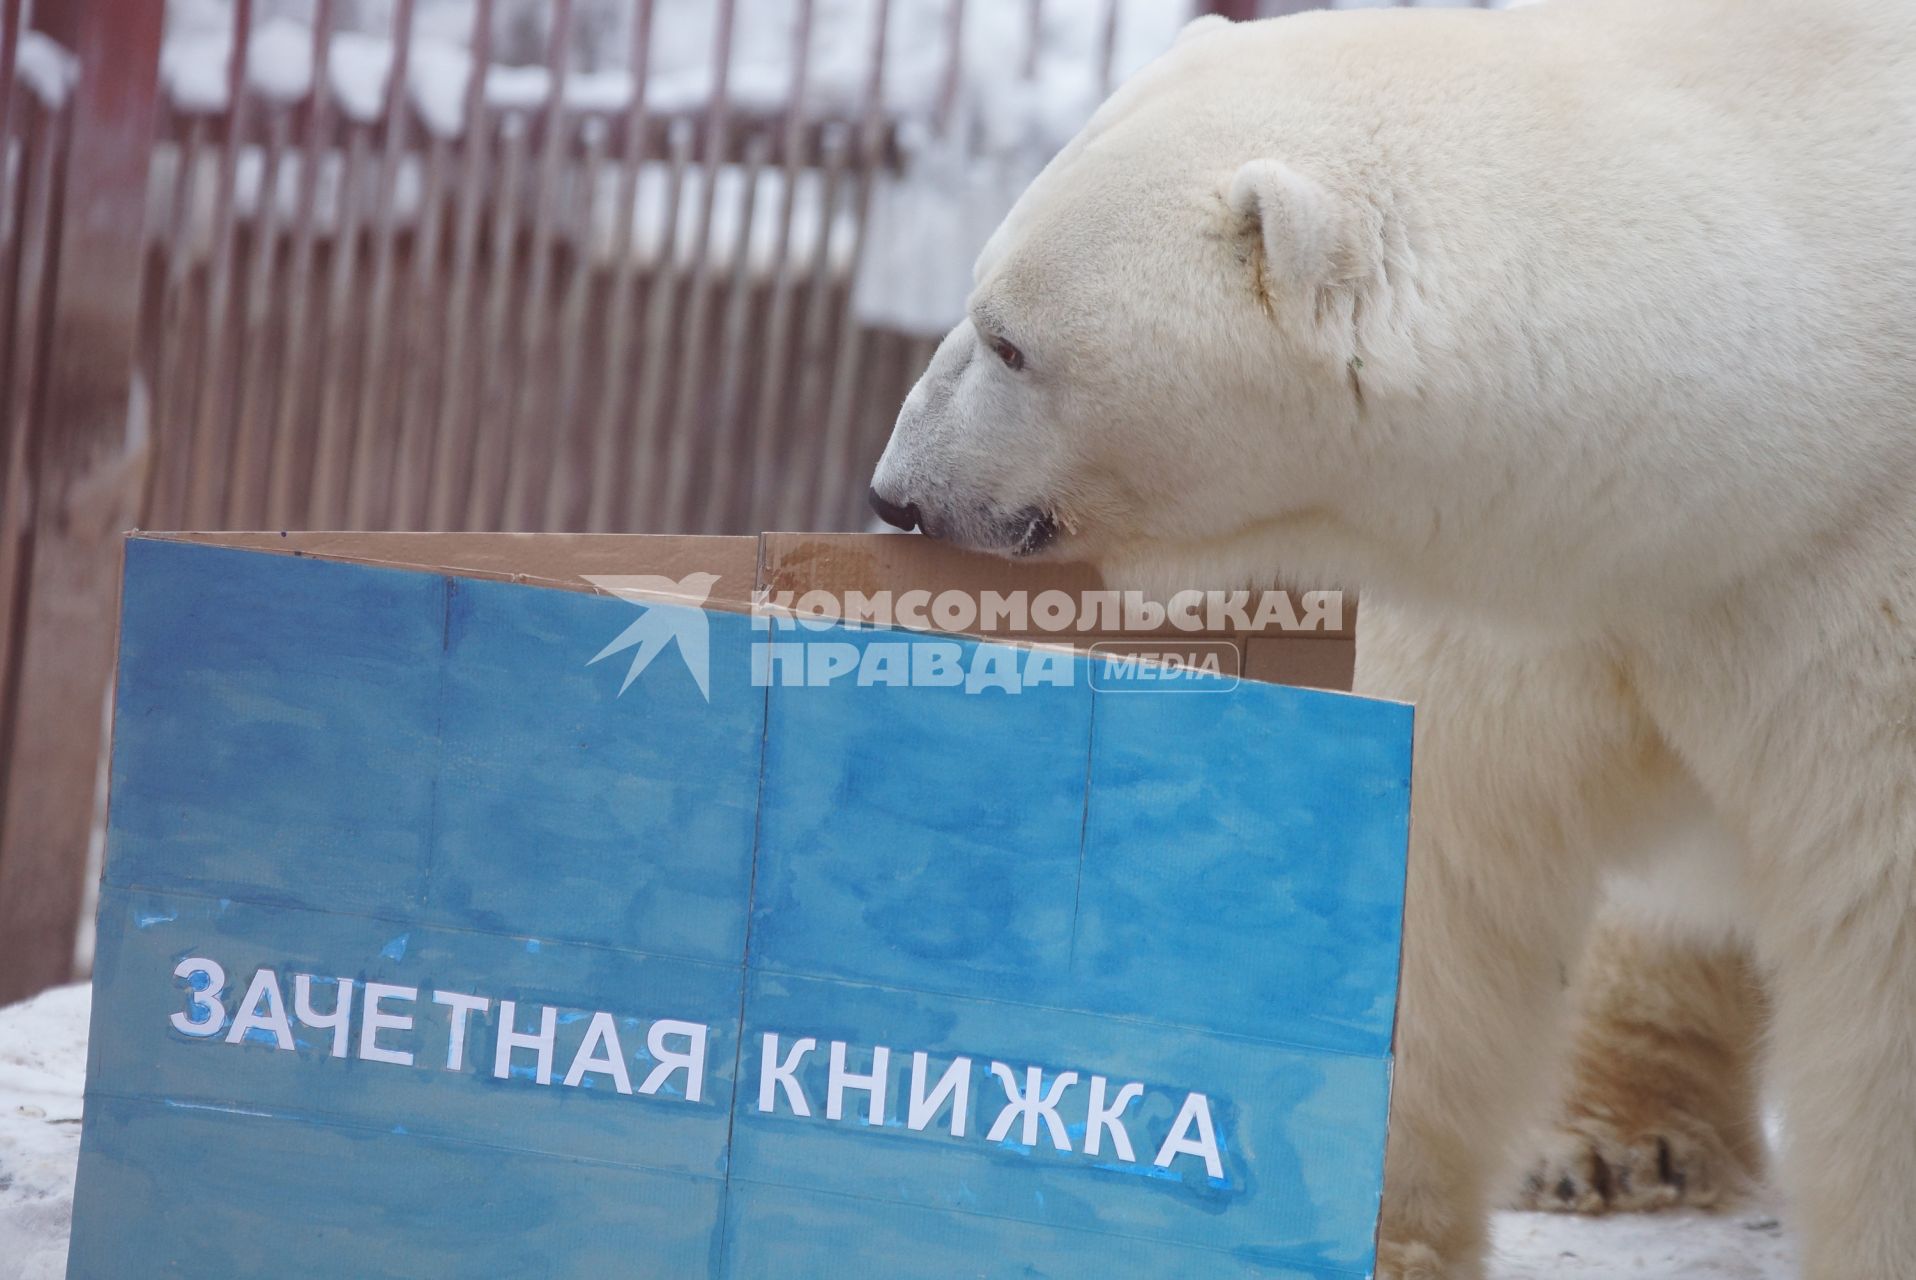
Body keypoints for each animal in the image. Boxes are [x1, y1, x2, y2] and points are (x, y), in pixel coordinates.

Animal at [869, 5, 1916, 1272]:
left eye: (1011, 341)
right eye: (977, 299)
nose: (895, 492)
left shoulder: (1855, 605)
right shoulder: (1536, 591)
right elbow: (1443, 861)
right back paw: (1610, 1141)